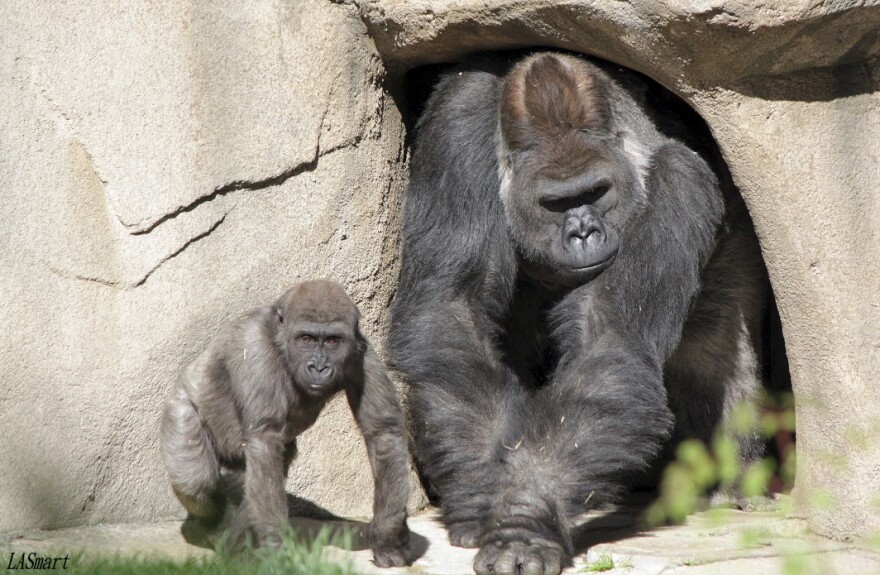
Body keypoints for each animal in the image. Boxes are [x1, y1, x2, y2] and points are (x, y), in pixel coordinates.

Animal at [160, 279, 411, 567]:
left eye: (333, 341)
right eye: (307, 339)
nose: (319, 367)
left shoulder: (361, 351)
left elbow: (383, 432)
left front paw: (390, 537)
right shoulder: (255, 347)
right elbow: (265, 438)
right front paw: (276, 549)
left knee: (252, 478)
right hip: (180, 406)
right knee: (195, 479)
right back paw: (215, 528)